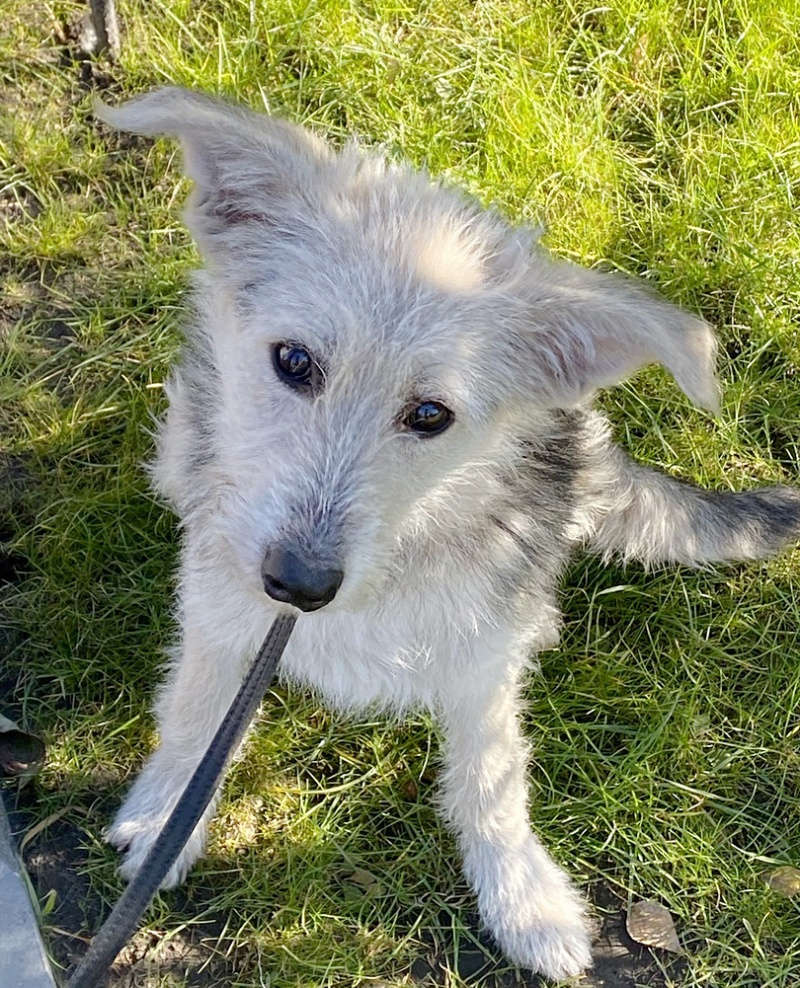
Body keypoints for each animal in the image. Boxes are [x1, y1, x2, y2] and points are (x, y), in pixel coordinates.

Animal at [95, 90, 800, 980]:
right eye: (293, 361)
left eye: (430, 415)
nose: (296, 584)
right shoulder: (220, 611)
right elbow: (194, 715)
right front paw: (165, 816)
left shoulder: (482, 663)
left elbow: (491, 781)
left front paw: (521, 895)